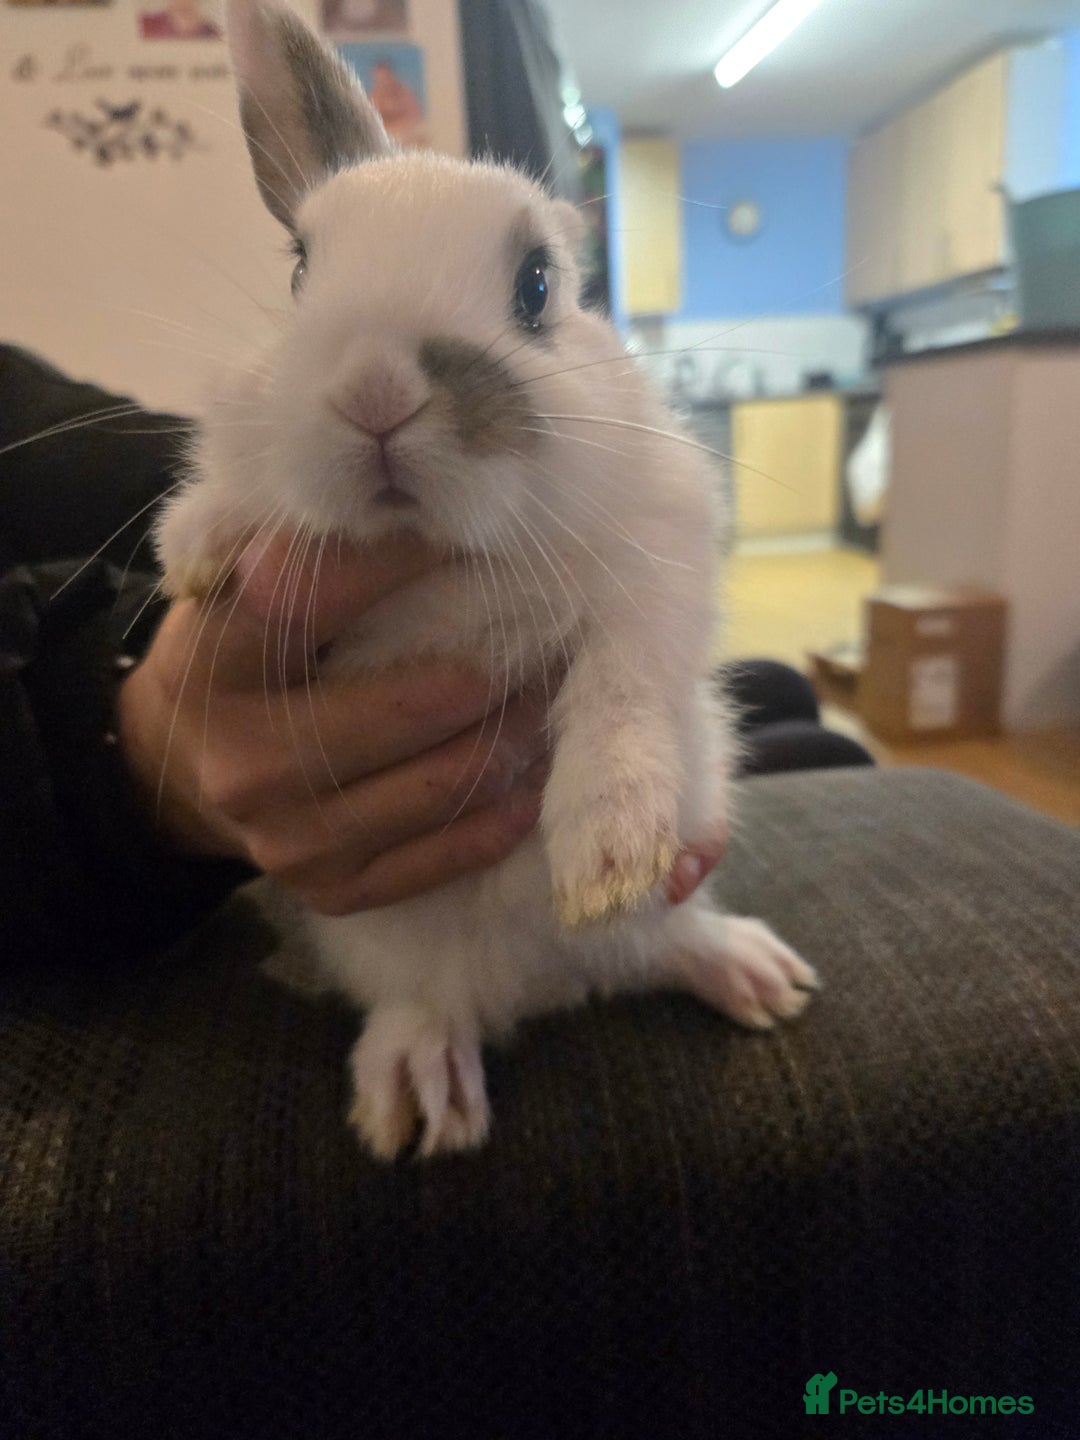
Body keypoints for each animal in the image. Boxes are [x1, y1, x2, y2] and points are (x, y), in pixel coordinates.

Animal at [156, 0, 819, 1160]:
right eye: (300, 270)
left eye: (537, 286)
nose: (376, 390)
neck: (443, 555)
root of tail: (541, 986)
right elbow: (237, 488)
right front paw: (196, 546)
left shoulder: (660, 562)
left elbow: (620, 690)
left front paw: (605, 851)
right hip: (384, 948)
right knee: (424, 1002)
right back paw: (420, 1088)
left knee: (648, 941)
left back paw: (743, 968)